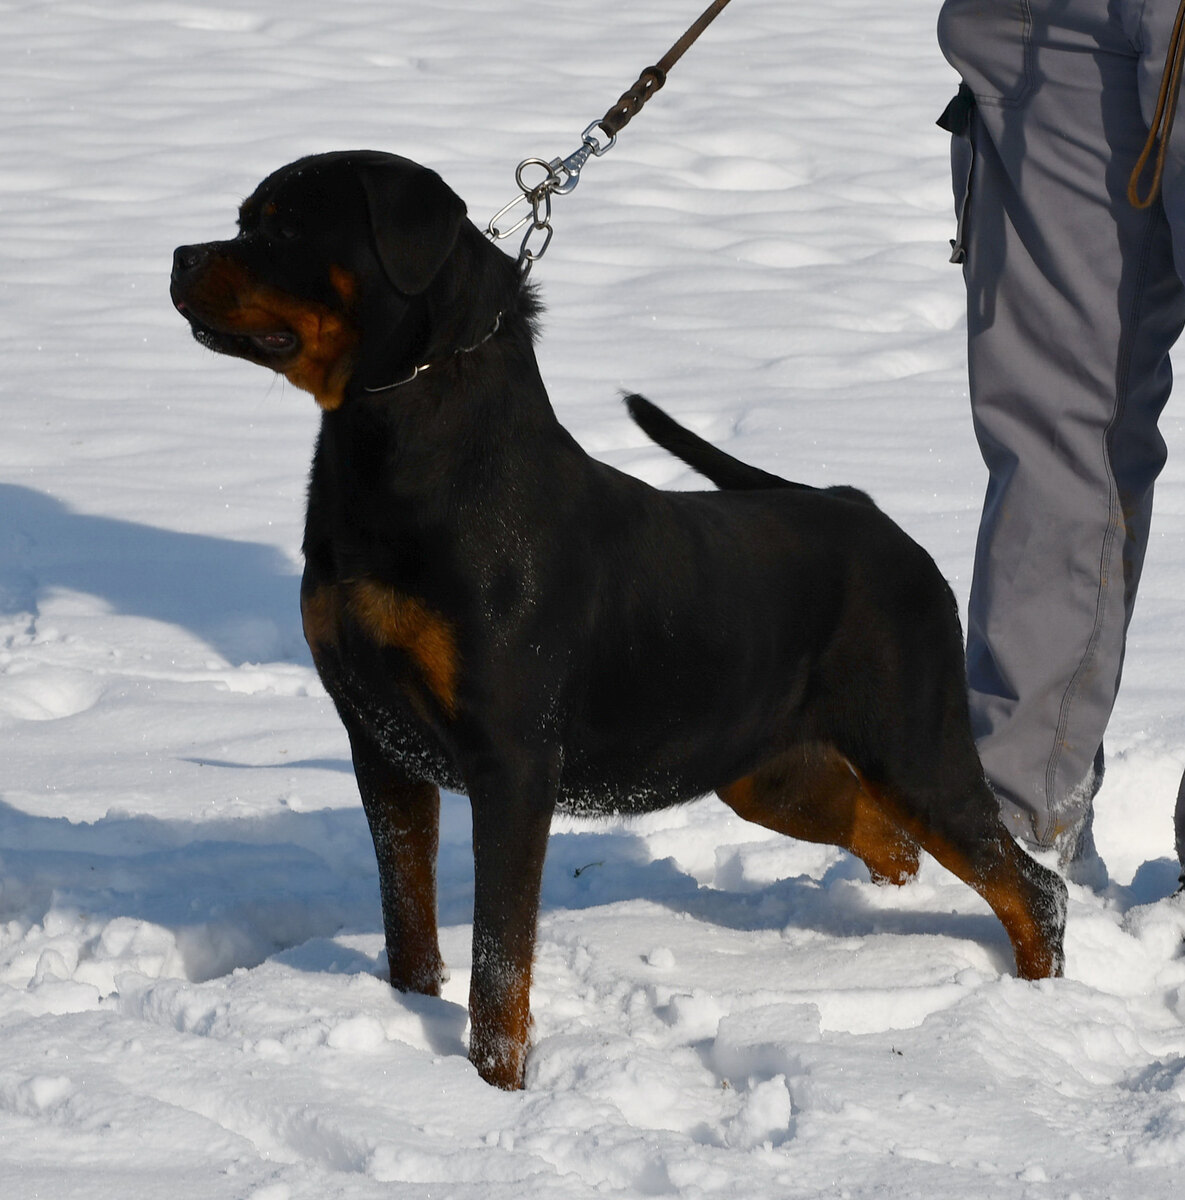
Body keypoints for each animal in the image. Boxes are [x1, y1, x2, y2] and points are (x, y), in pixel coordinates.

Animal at [171, 150, 1066, 1090]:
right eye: (243, 220)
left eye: (286, 229)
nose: (180, 257)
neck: (406, 450)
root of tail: (867, 509)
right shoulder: (379, 744)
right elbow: (408, 924)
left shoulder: (511, 764)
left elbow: (500, 957)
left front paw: (496, 1086)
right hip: (771, 773)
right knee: (892, 841)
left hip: (913, 746)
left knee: (1027, 885)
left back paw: (1034, 1002)